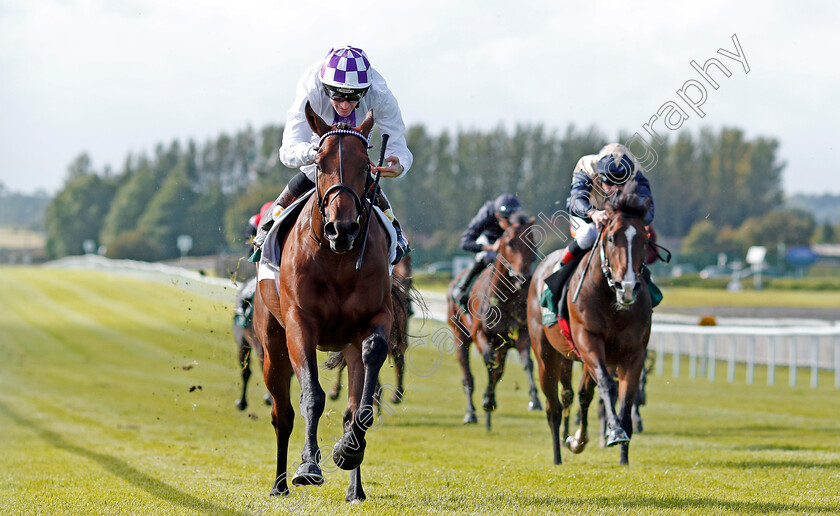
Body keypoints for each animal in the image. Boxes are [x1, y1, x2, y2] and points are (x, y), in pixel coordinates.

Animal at [528, 187, 652, 466]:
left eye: (643, 239)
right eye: (611, 239)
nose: (627, 288)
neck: (611, 300)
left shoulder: (634, 353)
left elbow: (625, 400)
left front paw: (623, 456)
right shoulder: (588, 339)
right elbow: (607, 385)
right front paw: (614, 432)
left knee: (583, 395)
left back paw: (577, 441)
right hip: (546, 353)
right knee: (553, 407)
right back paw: (558, 456)